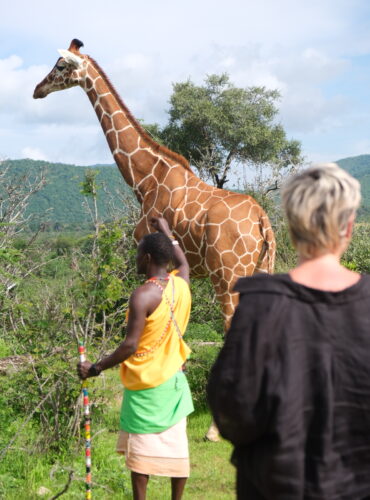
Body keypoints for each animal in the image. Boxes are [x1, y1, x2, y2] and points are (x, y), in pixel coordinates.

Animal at [33, 39, 274, 328]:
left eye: (60, 66)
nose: (37, 89)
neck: (145, 179)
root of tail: (262, 221)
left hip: (228, 274)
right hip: (262, 268)